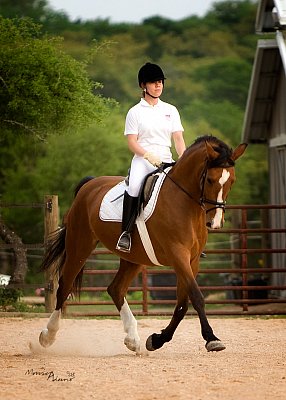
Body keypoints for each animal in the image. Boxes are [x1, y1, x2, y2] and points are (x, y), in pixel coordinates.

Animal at [39, 136, 247, 354]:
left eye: (232, 181)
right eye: (210, 180)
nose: (215, 222)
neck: (185, 203)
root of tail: (90, 184)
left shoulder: (192, 260)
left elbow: (182, 304)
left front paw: (157, 340)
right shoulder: (178, 255)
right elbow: (196, 297)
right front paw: (211, 338)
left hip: (133, 258)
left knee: (116, 289)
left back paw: (133, 340)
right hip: (80, 246)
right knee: (64, 286)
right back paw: (48, 335)